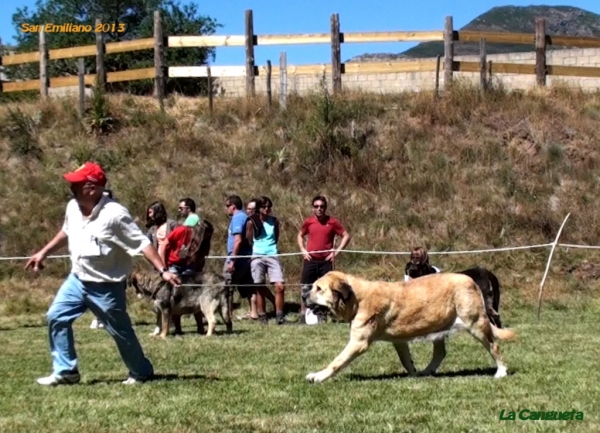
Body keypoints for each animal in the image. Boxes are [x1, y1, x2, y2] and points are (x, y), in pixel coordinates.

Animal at [304, 270, 516, 382]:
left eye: (319, 288)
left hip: (476, 324)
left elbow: (337, 361)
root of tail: (471, 279)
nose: (304, 295)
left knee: (494, 346)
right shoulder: (399, 341)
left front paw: (318, 376)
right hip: (439, 327)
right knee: (440, 353)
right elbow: (406, 360)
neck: (357, 299)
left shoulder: (358, 342)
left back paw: (501, 372)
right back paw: (427, 372)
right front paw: (413, 374)